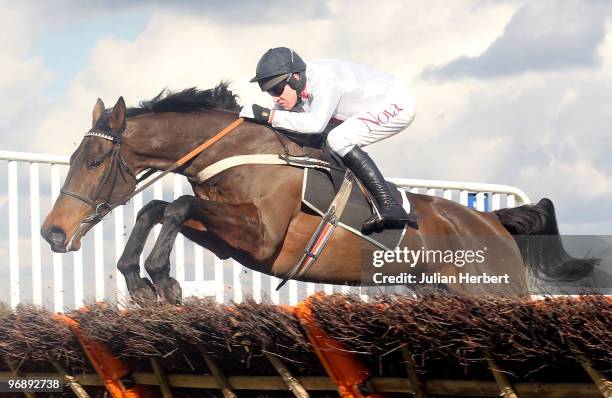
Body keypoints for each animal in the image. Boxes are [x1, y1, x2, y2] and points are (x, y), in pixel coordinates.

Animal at [40, 82, 596, 304]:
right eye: (72, 158)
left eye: (94, 162)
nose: (52, 233)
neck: (238, 150)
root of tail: (494, 222)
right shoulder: (228, 239)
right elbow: (159, 207)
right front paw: (139, 281)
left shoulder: (262, 239)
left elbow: (176, 203)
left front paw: (161, 279)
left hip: (497, 293)